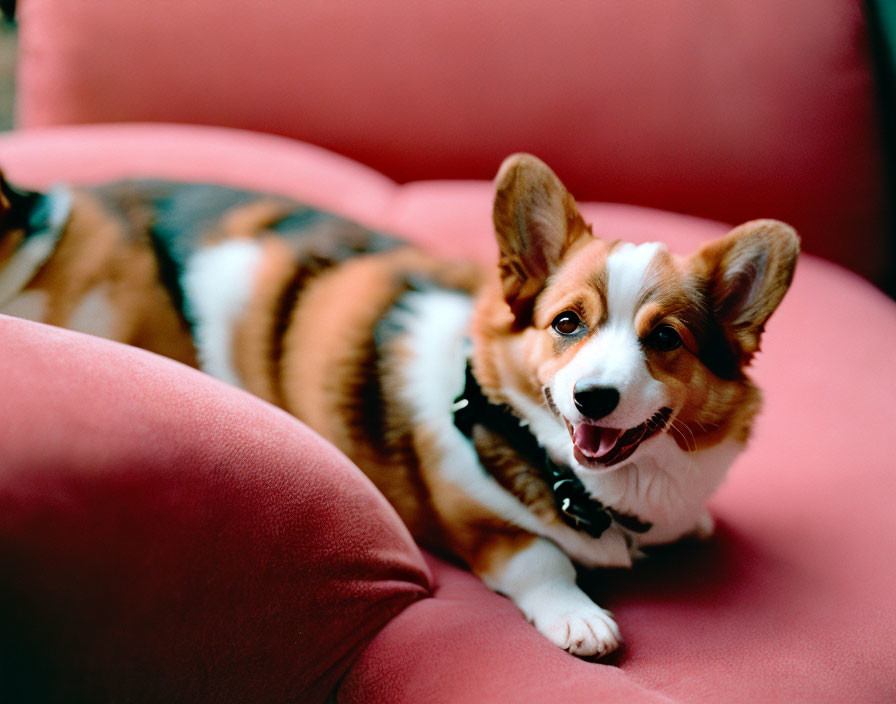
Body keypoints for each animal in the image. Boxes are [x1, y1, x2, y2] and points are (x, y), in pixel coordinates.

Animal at [0, 154, 800, 656]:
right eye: (567, 323)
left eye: (664, 338)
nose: (592, 397)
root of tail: (57, 209)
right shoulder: (482, 526)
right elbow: (543, 560)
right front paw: (582, 620)